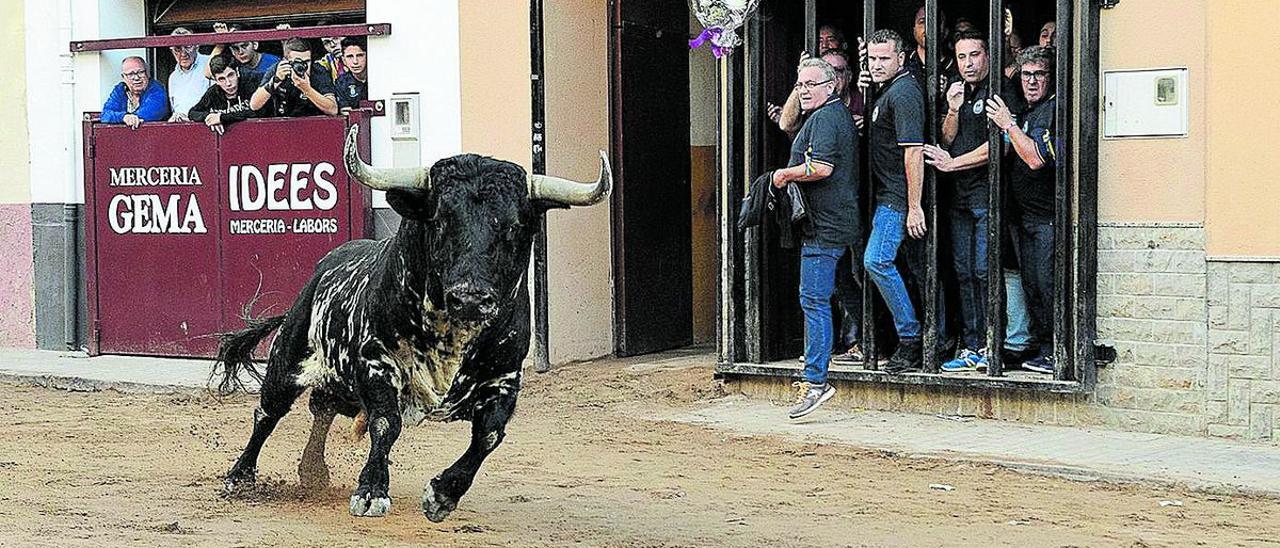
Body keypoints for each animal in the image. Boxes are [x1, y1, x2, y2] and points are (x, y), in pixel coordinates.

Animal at [212, 125, 611, 522]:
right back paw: (239, 476)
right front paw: (371, 491)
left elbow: (488, 437)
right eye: (440, 219)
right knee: (268, 413)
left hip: (339, 384)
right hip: (287, 361)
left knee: (323, 407)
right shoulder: (376, 363)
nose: (470, 299)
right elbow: (385, 423)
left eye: (514, 227)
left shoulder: (504, 378)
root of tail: (322, 268)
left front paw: (443, 495)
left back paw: (313, 471)